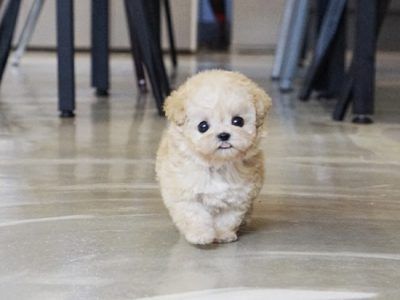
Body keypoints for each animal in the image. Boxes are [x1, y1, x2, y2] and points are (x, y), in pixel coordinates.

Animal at [155, 70, 270, 246]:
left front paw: (223, 235)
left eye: (238, 121)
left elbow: (227, 219)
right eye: (203, 126)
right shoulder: (187, 194)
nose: (223, 135)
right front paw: (200, 235)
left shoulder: (237, 197)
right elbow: (195, 215)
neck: (217, 164)